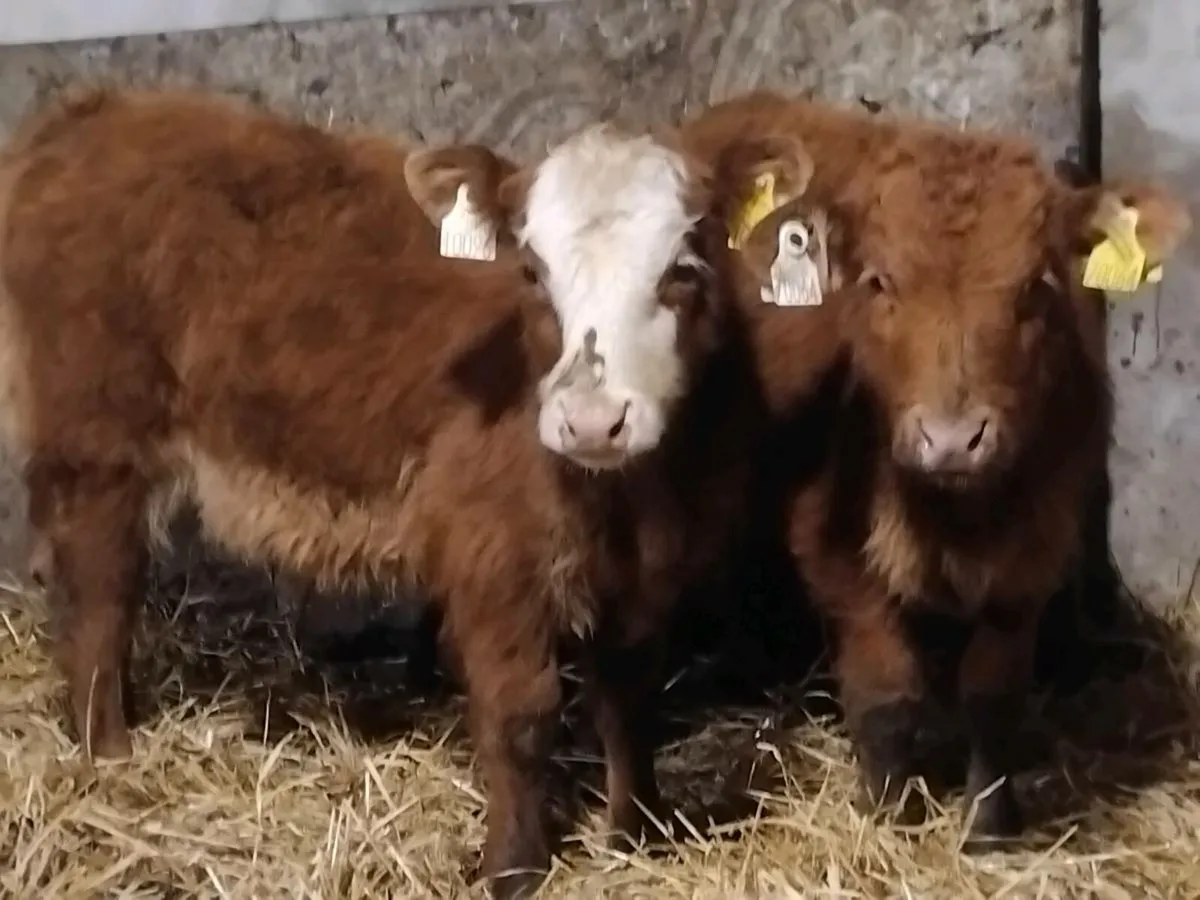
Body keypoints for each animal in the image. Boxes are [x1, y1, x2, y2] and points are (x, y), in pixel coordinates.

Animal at [0, 85, 818, 897]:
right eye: (531, 272)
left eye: (683, 270)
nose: (591, 421)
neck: (624, 496)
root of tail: (94, 112)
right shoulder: (493, 553)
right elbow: (521, 713)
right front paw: (511, 868)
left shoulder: (653, 562)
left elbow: (629, 696)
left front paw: (638, 834)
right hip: (95, 440)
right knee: (101, 592)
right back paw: (108, 750)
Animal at [678, 90, 1192, 850]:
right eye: (879, 281)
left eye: (1035, 288)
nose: (952, 440)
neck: (955, 516)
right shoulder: (839, 556)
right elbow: (886, 692)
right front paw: (890, 816)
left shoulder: (1034, 550)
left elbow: (994, 694)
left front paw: (990, 826)